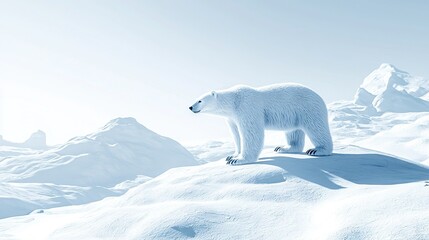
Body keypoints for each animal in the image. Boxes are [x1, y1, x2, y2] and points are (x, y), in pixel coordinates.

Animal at [189, 83, 332, 165]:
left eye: (200, 100)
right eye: (196, 99)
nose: (190, 107)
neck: (233, 102)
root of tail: (319, 97)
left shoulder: (247, 107)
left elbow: (251, 132)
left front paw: (239, 160)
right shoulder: (232, 118)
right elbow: (236, 135)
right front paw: (232, 155)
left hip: (309, 108)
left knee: (316, 128)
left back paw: (317, 150)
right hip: (294, 115)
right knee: (293, 132)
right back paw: (283, 147)